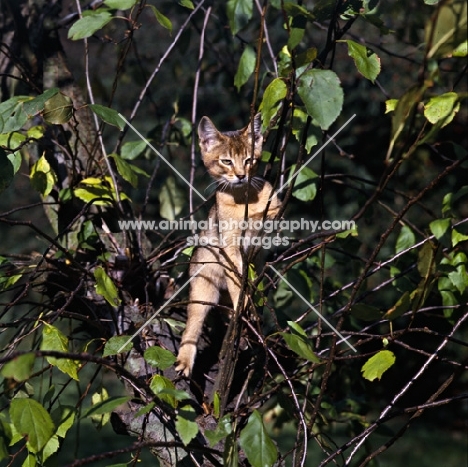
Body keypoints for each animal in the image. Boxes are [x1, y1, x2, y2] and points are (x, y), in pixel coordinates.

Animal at [175, 115, 278, 378]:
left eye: (249, 160)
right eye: (226, 161)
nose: (241, 175)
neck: (243, 198)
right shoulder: (229, 248)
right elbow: (237, 281)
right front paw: (244, 303)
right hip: (202, 293)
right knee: (192, 328)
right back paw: (184, 361)